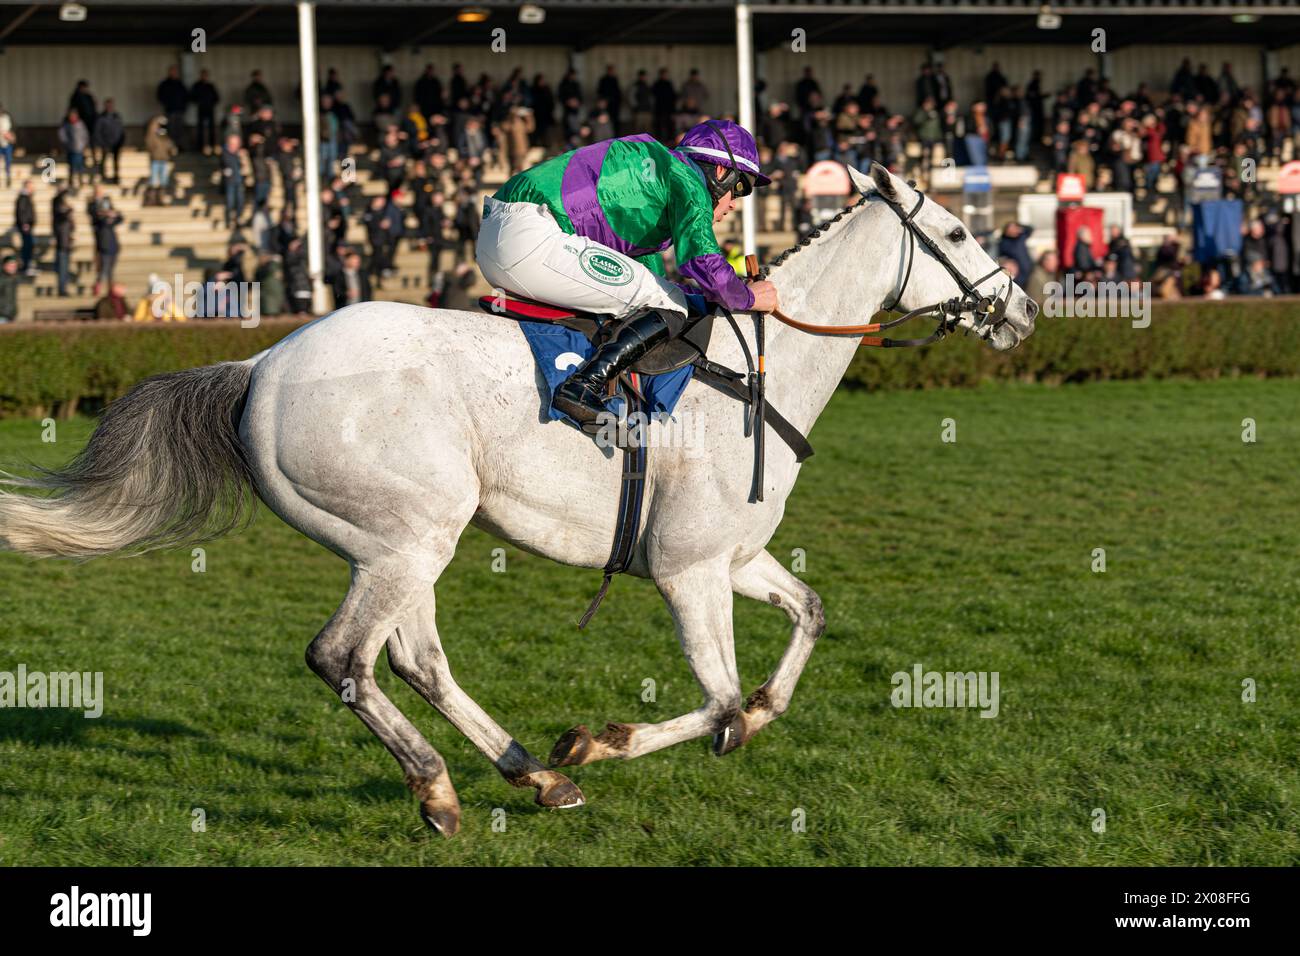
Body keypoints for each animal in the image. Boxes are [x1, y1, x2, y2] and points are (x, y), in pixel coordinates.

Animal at [0, 166, 1034, 837]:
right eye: (955, 234)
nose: (1021, 310)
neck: (753, 374)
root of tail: (260, 362)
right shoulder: (687, 569)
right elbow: (717, 698)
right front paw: (596, 741)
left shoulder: (732, 559)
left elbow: (805, 622)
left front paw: (725, 724)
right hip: (409, 536)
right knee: (344, 657)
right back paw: (444, 789)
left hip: (397, 542)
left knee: (411, 660)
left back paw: (525, 775)